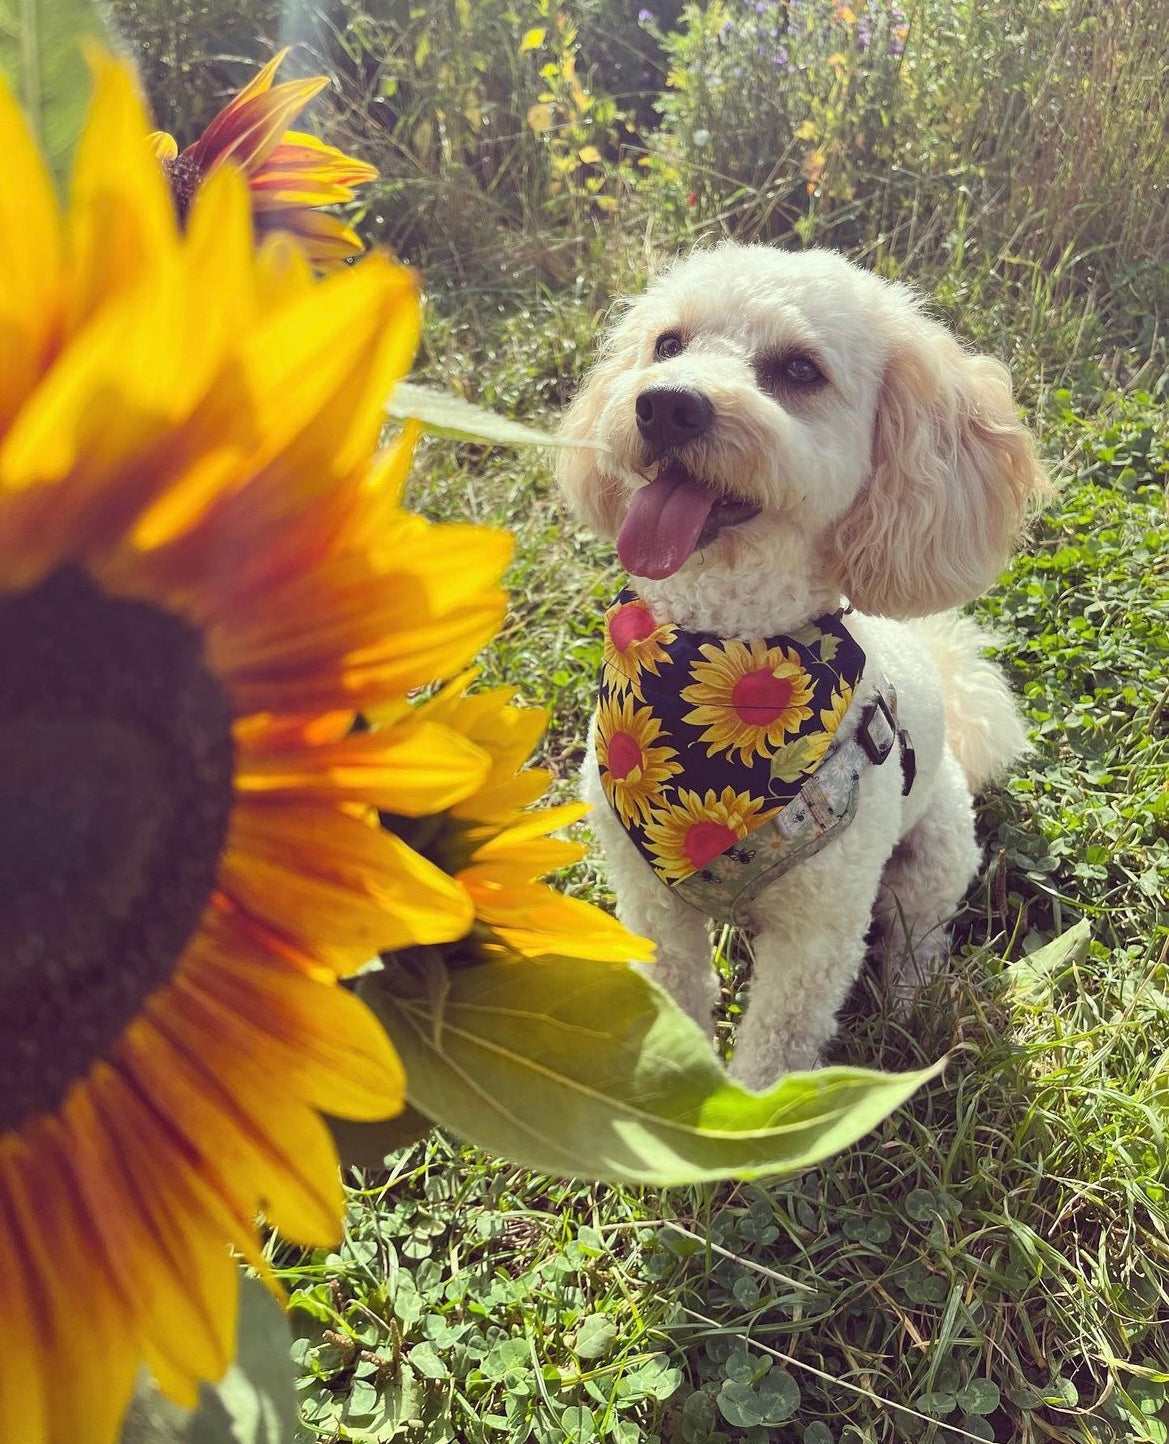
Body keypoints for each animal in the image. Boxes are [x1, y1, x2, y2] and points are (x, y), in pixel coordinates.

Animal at [557, 242, 1044, 1085]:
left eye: (798, 370)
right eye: (666, 344)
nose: (666, 406)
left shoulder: (818, 937)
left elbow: (778, 1050)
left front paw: (753, 1121)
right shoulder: (651, 905)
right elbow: (676, 991)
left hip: (937, 850)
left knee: (918, 934)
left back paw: (909, 1007)